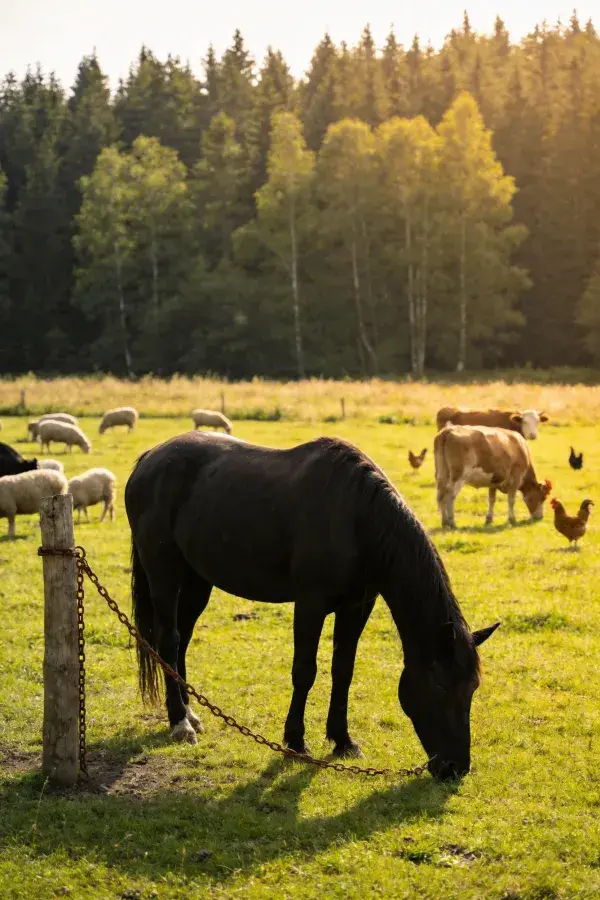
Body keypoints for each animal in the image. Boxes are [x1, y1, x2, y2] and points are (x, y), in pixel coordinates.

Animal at [124, 432, 499, 781]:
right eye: (441, 686)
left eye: (472, 687)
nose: (454, 767)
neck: (356, 519)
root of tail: (149, 458)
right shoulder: (309, 604)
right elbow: (304, 671)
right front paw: (295, 741)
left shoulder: (357, 606)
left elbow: (343, 670)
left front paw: (343, 740)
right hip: (163, 572)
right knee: (168, 641)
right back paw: (179, 722)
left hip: (197, 579)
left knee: (182, 641)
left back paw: (190, 713)